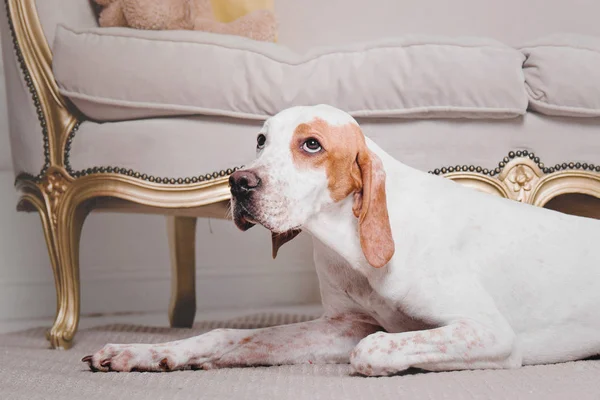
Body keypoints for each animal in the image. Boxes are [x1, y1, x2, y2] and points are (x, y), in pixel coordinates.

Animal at [83, 104, 600, 376]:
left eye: (311, 145)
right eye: (260, 140)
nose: (238, 184)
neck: (351, 244)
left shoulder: (489, 333)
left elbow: (372, 349)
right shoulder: (344, 324)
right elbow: (231, 334)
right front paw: (152, 352)